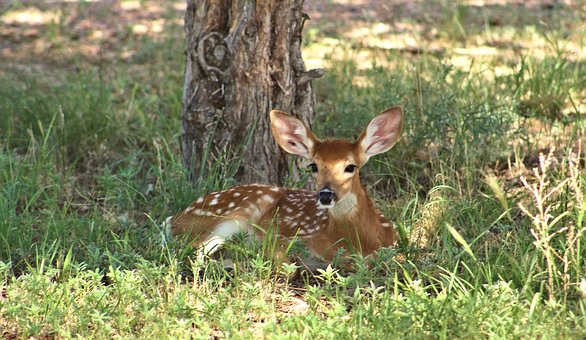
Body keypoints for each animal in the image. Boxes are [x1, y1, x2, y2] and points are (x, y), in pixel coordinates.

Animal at [162, 105, 404, 260]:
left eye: (351, 166)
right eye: (313, 166)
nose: (326, 194)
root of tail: (177, 216)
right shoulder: (290, 237)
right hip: (233, 214)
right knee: (193, 249)